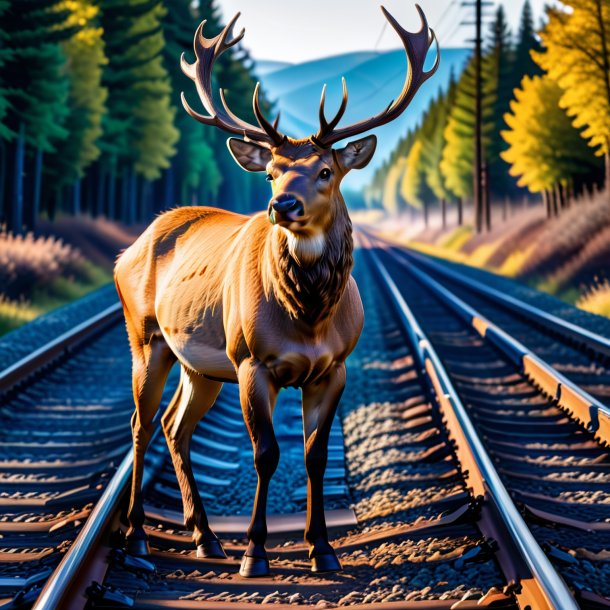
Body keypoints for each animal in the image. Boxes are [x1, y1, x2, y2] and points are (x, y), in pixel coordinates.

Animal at [114, 3, 436, 576]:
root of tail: (128, 248)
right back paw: (137, 541)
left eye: (326, 170)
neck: (307, 318)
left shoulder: (334, 366)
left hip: (200, 363)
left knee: (175, 426)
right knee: (141, 424)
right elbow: (266, 453)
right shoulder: (251, 361)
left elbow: (315, 455)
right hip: (146, 338)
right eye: (269, 173)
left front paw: (322, 549)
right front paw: (256, 552)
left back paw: (206, 538)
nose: (281, 205)